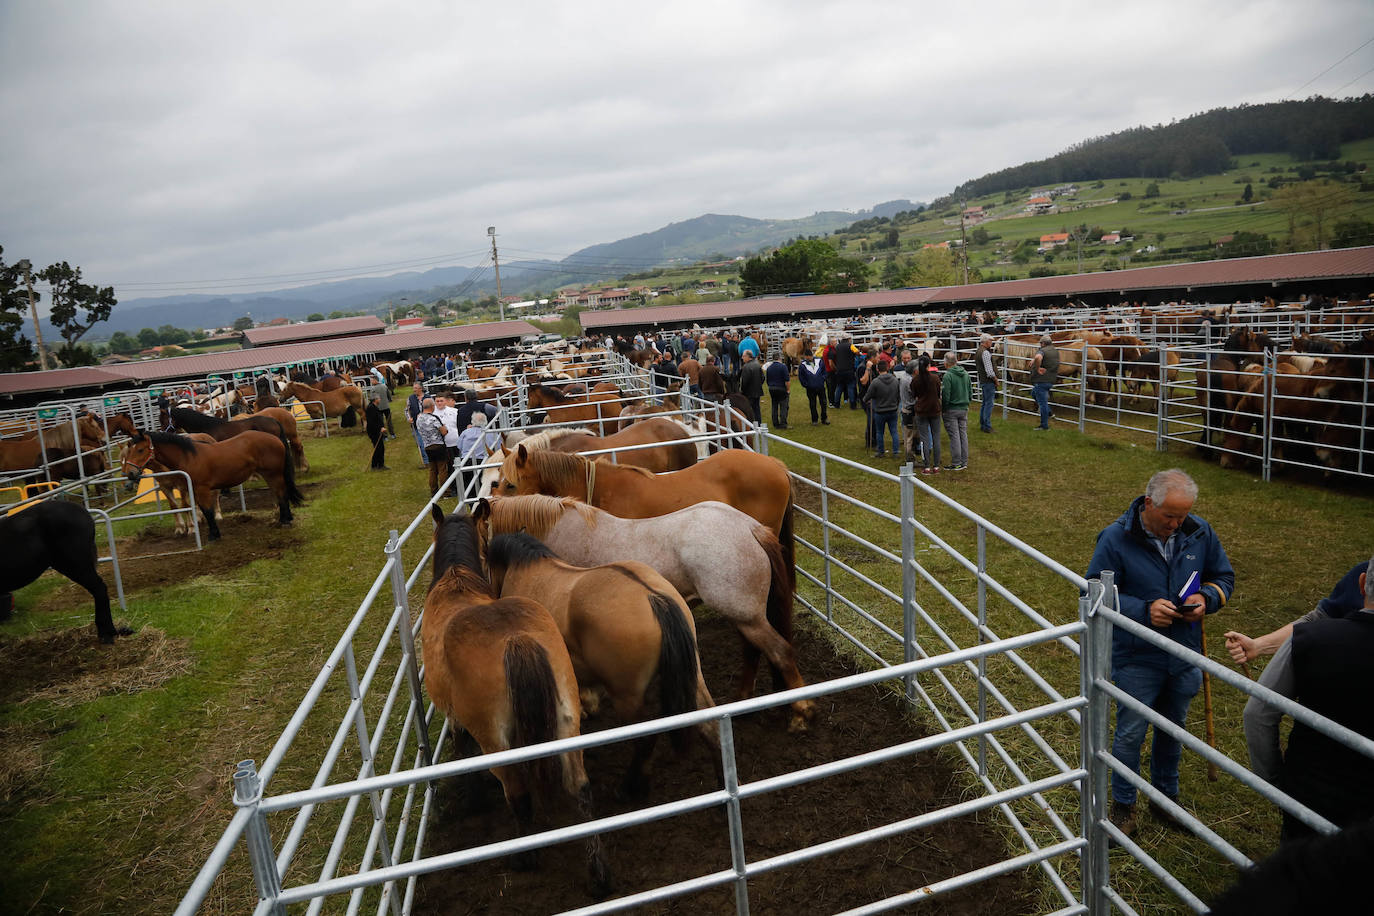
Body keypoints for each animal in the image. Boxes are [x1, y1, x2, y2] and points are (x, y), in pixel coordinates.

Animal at [118, 431, 303, 543]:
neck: (189, 457)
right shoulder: (192, 489)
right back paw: (284, 519)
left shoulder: (201, 489)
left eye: (140, 450)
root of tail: (275, 439)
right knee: (280, 494)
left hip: (273, 474)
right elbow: (201, 510)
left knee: (281, 494)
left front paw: (213, 535)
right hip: (270, 475)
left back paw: (285, 520)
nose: (130, 474)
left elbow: (207, 511)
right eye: (129, 451)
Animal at [420, 505, 610, 900]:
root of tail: (516, 639)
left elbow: (462, 751)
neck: (455, 582)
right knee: (580, 789)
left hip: (497, 743)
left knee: (519, 795)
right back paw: (599, 875)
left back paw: (524, 857)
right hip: (568, 725)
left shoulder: (455, 718)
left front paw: (474, 801)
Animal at [475, 497, 813, 736]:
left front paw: (586, 705)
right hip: (746, 618)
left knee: (780, 651)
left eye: (480, 547)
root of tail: (749, 527)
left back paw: (800, 713)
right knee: (754, 651)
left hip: (747, 617)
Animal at [483, 530, 719, 796]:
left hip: (627, 697)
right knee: (711, 727)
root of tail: (654, 597)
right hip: (693, 677)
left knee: (645, 741)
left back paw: (631, 787)